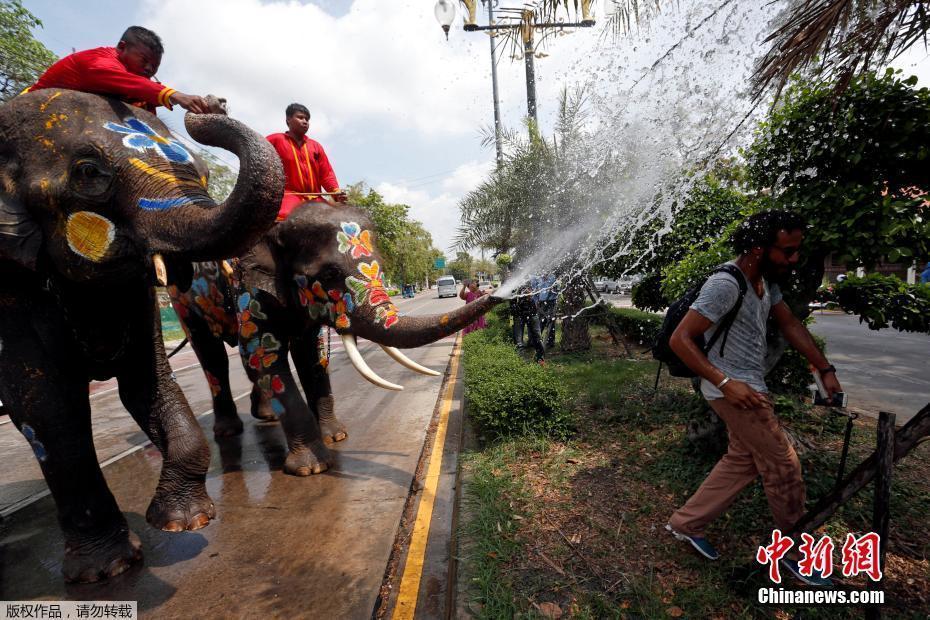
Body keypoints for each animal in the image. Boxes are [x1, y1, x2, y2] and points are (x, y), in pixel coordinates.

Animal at [0, 89, 282, 584]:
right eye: (88, 173)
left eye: (205, 173)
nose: (213, 103)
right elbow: (45, 407)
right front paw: (106, 569)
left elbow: (147, 384)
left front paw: (183, 521)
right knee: (210, 355)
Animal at [167, 201, 500, 478]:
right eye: (328, 275)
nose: (494, 289)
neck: (277, 225)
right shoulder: (250, 291)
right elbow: (263, 356)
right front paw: (312, 468)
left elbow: (311, 357)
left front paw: (337, 436)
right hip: (182, 301)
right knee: (212, 356)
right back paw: (228, 431)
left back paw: (265, 416)